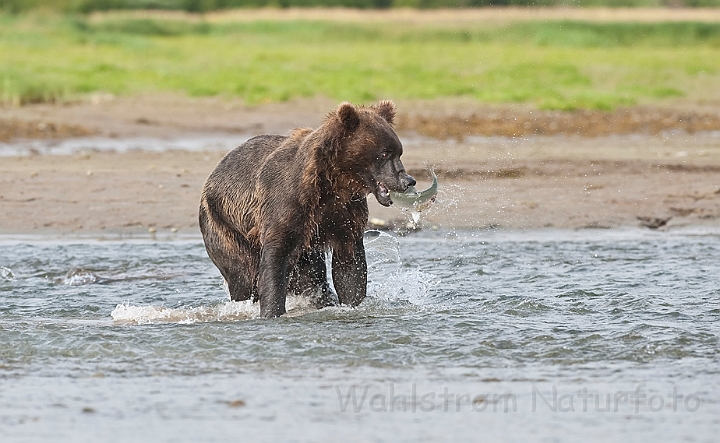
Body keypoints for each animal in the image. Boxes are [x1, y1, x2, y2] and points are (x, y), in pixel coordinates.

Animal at [198, 101, 416, 320]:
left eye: (399, 152)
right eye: (385, 153)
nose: (407, 180)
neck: (334, 183)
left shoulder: (345, 213)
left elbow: (349, 265)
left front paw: (352, 304)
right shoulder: (288, 203)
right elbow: (275, 259)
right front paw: (271, 311)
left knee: (310, 277)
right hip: (224, 225)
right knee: (243, 275)